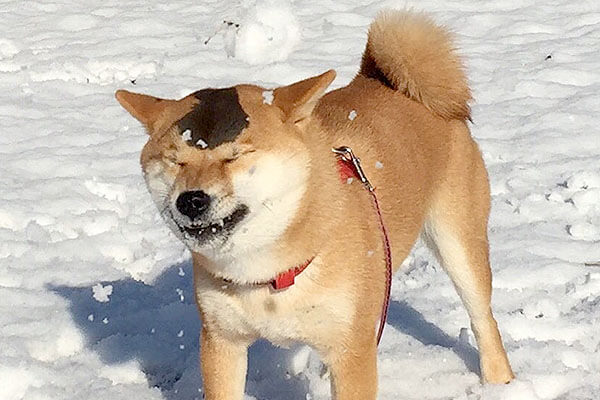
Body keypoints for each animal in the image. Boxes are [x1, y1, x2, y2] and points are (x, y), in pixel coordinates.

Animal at [115, 10, 512, 398]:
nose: (192, 200)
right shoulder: (221, 341)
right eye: (174, 160)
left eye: (235, 156)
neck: (268, 274)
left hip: (457, 245)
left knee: (483, 319)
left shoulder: (351, 350)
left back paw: (499, 382)